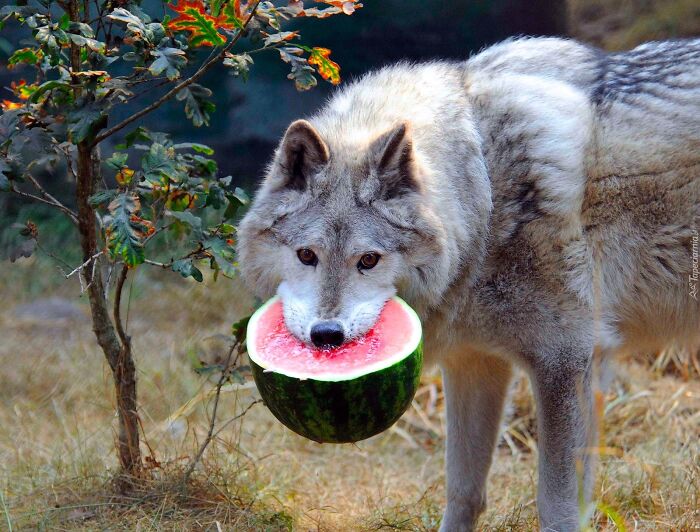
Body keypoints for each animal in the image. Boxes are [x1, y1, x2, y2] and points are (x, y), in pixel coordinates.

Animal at [237, 37, 700, 531]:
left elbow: (557, 505)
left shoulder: (566, 361)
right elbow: (463, 491)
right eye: (307, 255)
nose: (327, 336)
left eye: (368, 260)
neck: (485, 193)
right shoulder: (474, 362)